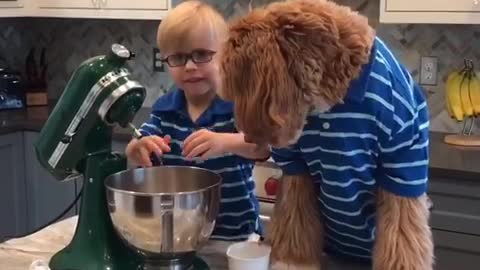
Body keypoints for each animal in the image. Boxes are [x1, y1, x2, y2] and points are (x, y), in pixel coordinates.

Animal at [219, 0, 434, 270]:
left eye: (239, 87)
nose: (247, 139)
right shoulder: (296, 167)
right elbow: (296, 218)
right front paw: (294, 260)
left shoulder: (403, 164)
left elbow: (402, 234)